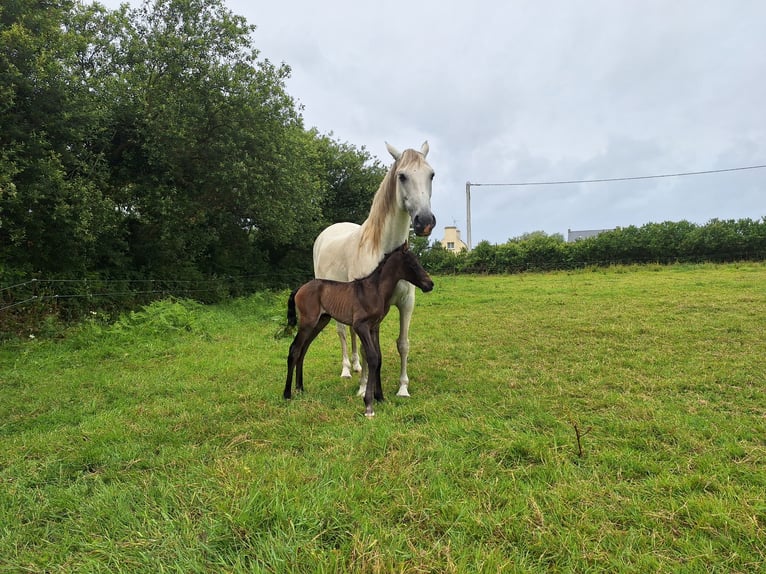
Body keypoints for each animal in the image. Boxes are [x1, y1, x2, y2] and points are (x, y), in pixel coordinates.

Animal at [285, 243, 434, 417]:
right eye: (412, 264)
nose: (430, 284)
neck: (375, 290)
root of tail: (299, 288)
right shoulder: (360, 326)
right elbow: (372, 357)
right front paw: (369, 404)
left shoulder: (374, 327)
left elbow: (379, 358)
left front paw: (380, 397)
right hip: (307, 322)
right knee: (294, 349)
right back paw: (287, 394)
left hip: (320, 321)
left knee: (303, 350)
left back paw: (300, 388)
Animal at [313, 141, 436, 399]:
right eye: (402, 176)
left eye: (431, 174)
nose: (425, 222)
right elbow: (367, 347)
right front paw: (363, 389)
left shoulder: (406, 303)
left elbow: (403, 344)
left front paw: (403, 388)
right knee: (341, 331)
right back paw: (347, 370)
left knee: (350, 332)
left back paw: (356, 366)